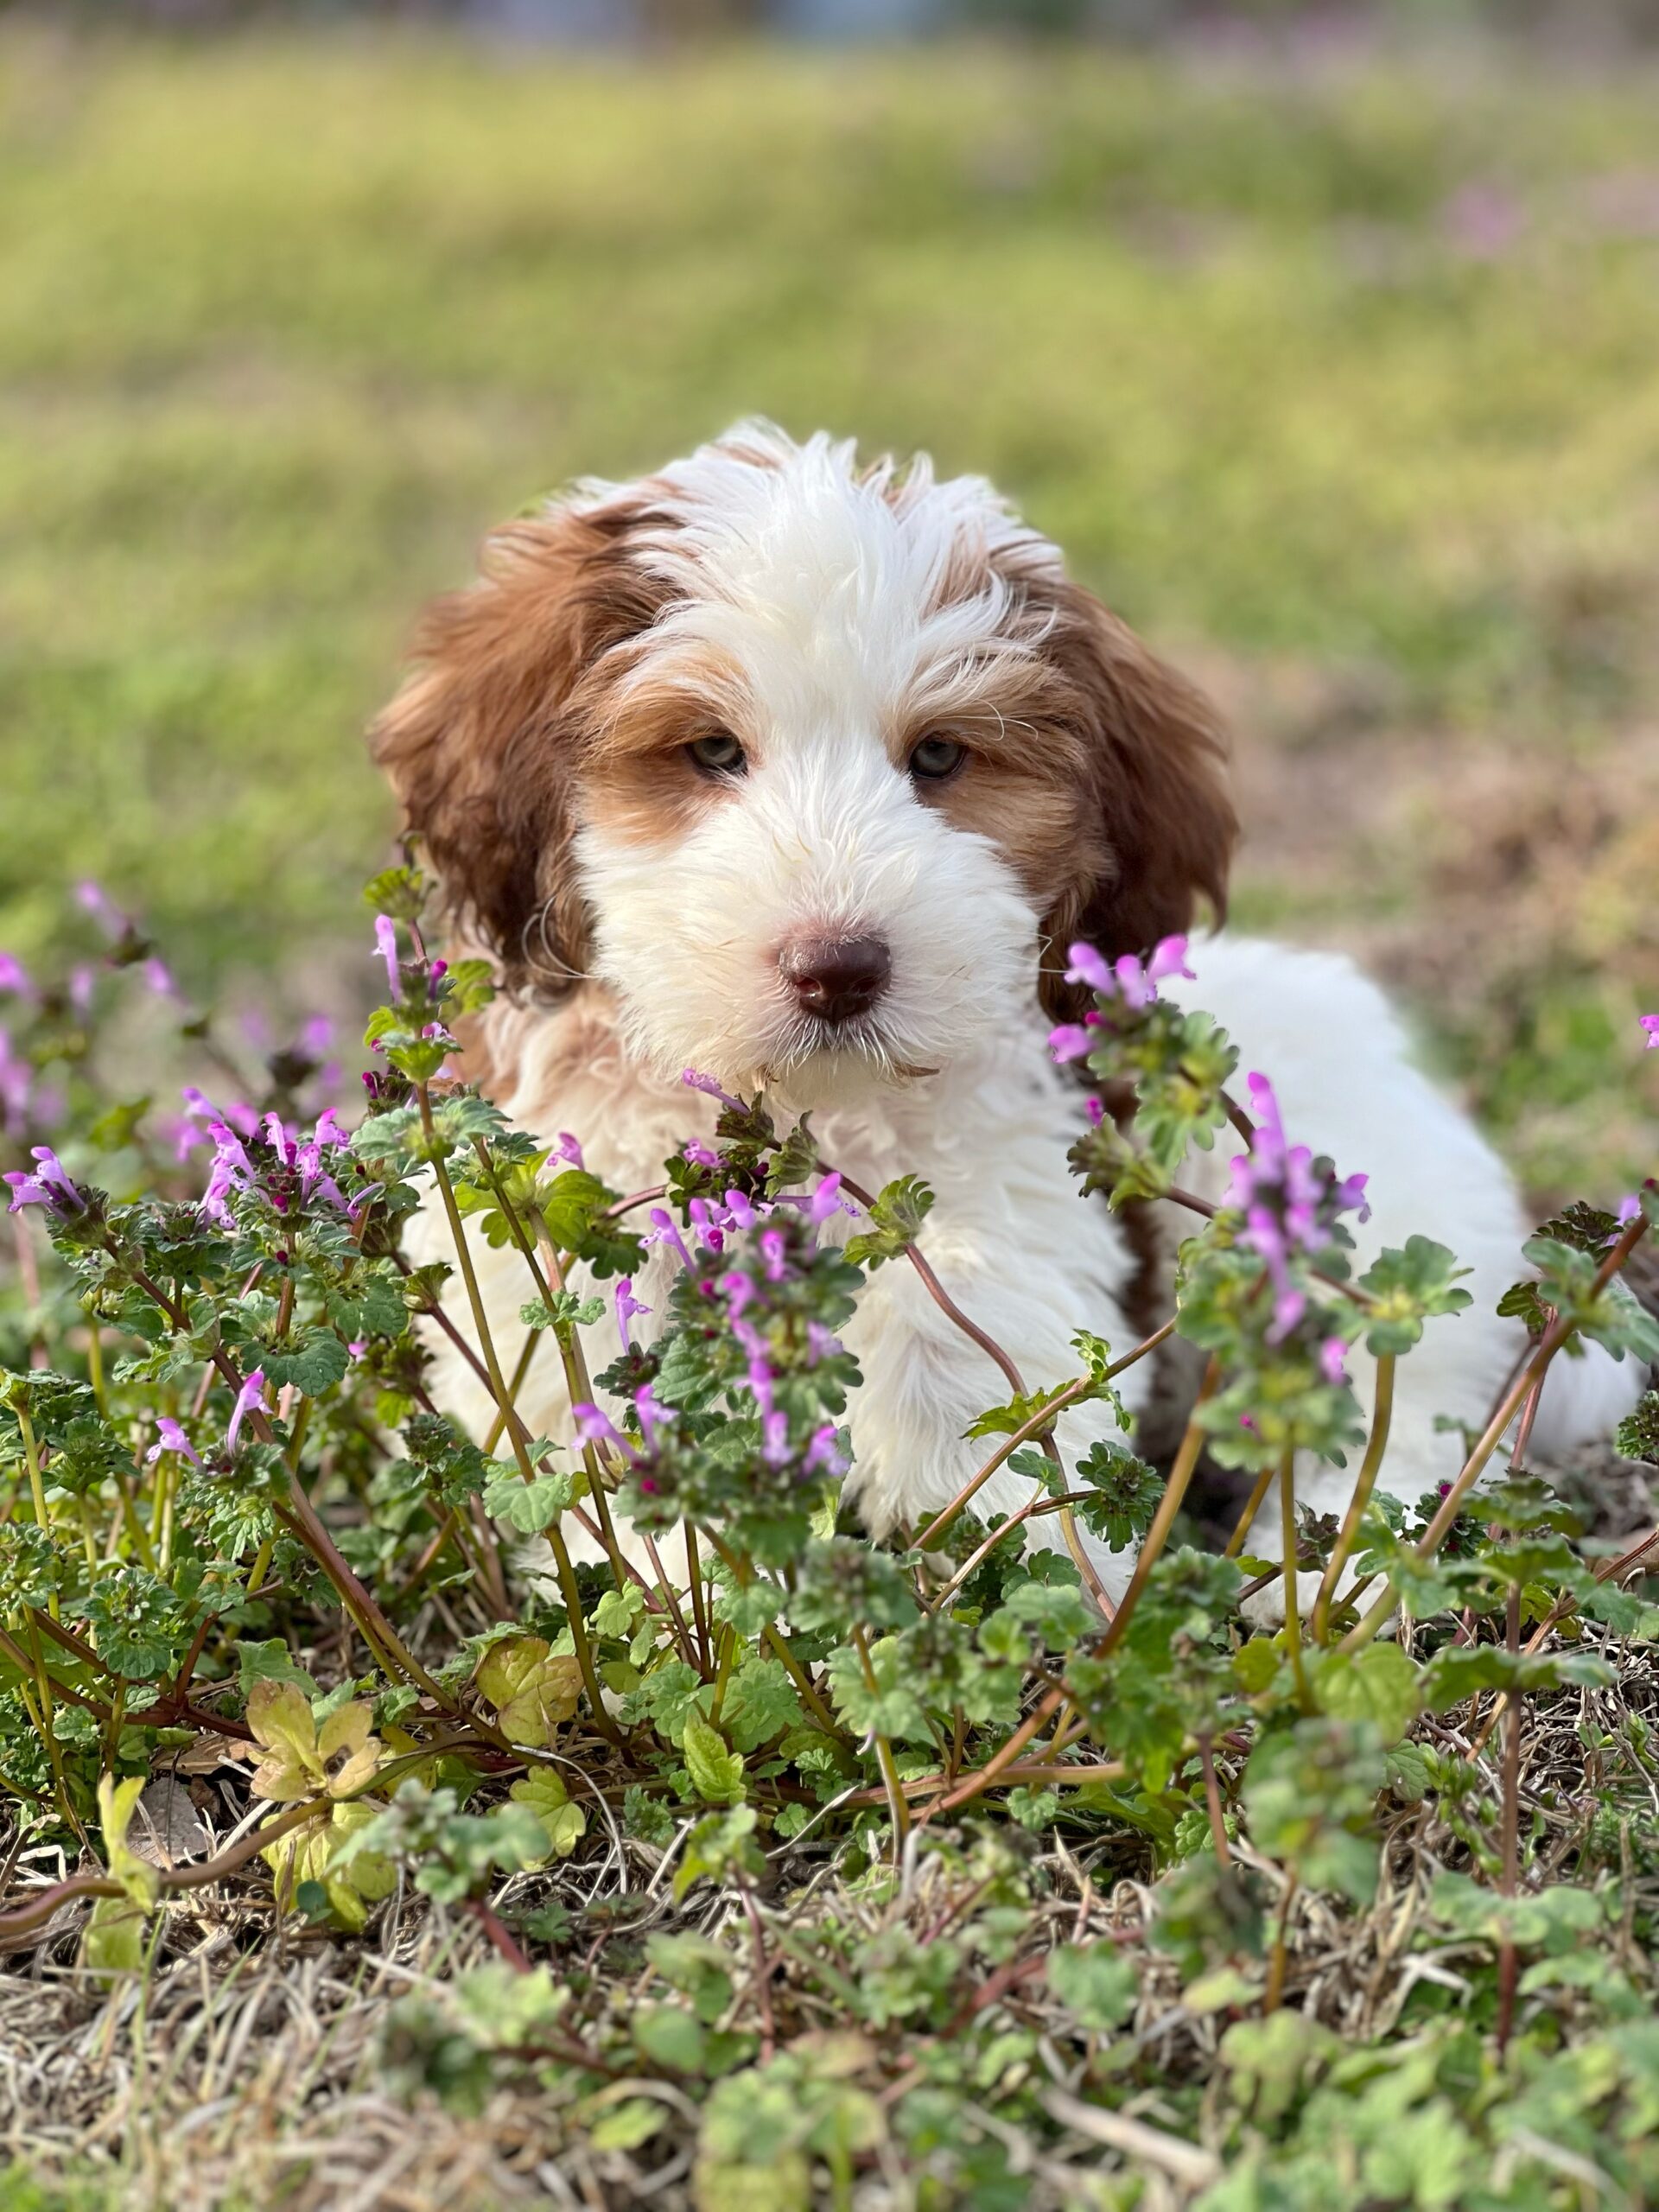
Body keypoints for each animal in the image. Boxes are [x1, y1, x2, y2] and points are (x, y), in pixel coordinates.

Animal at [373, 417, 1637, 1592]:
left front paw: (991, 1547)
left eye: (939, 757)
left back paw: (1324, 1561)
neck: (813, 1112)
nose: (839, 969)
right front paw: (693, 1585)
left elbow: (964, 1327)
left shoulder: (1025, 1176)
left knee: (1396, 1405)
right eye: (711, 750)